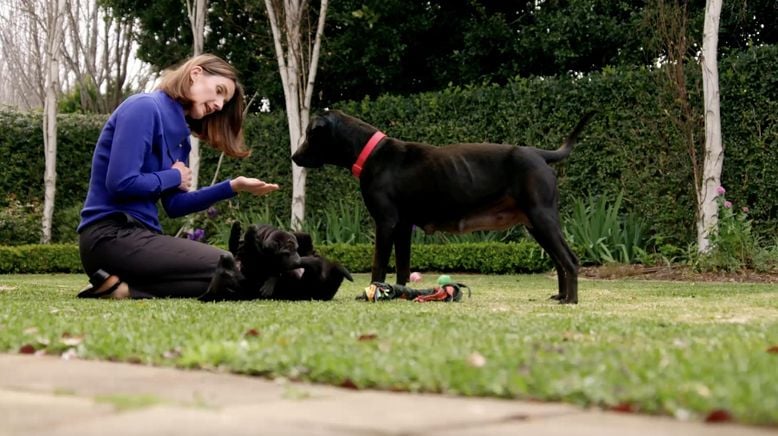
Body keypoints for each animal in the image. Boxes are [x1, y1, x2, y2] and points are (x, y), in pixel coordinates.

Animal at [292, 110, 596, 304]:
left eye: (308, 133)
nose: (294, 156)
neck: (371, 154)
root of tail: (539, 154)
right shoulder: (403, 226)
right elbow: (402, 267)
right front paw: (398, 293)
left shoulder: (386, 223)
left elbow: (378, 264)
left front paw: (371, 292)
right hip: (535, 224)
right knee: (559, 261)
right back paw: (561, 295)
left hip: (542, 217)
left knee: (569, 260)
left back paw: (570, 300)